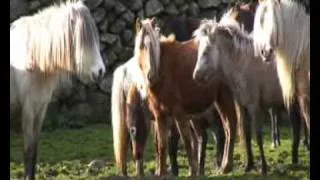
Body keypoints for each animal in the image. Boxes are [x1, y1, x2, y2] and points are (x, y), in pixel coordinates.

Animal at [9, 1, 105, 179]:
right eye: (83, 40)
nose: (100, 71)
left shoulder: (40, 108)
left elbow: (35, 149)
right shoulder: (28, 109)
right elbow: (28, 149)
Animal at [131, 17, 239, 176]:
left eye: (153, 46)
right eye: (141, 47)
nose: (151, 76)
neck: (163, 70)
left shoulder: (179, 114)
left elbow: (187, 142)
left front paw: (193, 172)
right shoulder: (160, 115)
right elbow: (162, 146)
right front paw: (161, 173)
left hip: (224, 97)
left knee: (230, 126)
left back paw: (226, 166)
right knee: (225, 128)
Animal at [191, 9, 304, 174]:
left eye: (206, 51)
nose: (196, 76)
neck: (243, 63)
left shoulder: (254, 107)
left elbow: (258, 136)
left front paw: (263, 167)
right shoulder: (242, 106)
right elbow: (247, 133)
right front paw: (248, 165)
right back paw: (295, 159)